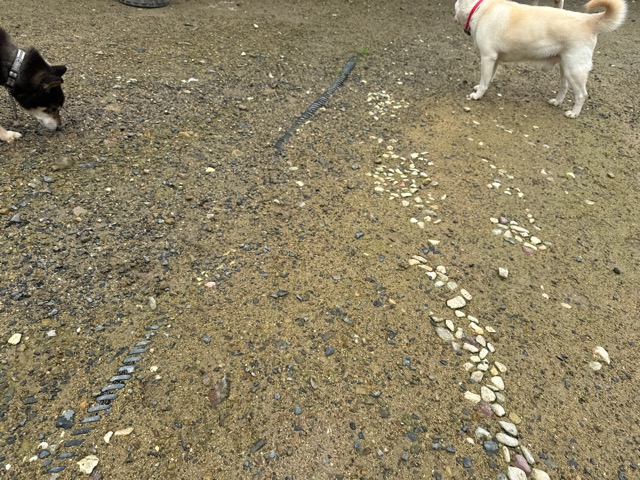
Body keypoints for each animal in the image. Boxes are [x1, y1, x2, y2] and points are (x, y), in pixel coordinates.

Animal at [455, 0, 627, 117]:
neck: (480, 9)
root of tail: (589, 20)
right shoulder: (494, 60)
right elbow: (488, 78)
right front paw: (480, 88)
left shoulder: (487, 58)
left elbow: (484, 81)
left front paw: (477, 95)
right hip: (566, 68)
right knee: (564, 87)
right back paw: (557, 102)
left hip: (575, 70)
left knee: (582, 95)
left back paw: (574, 113)